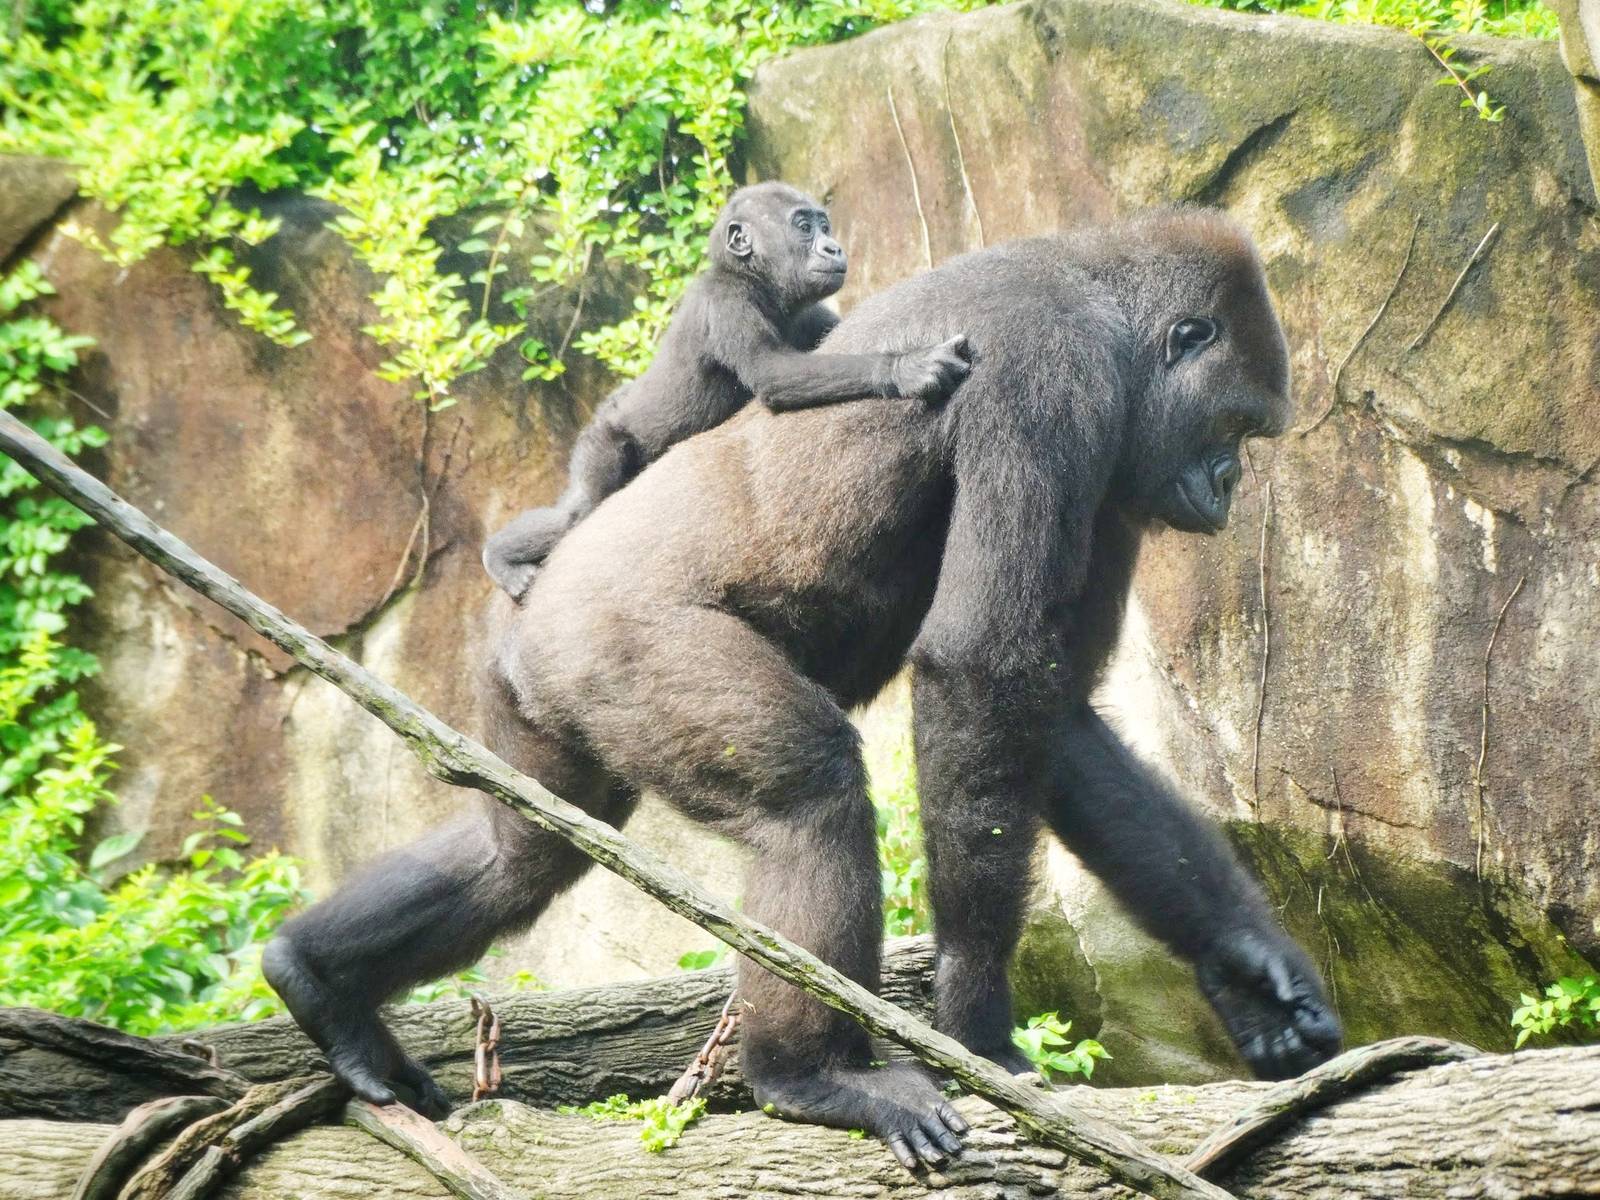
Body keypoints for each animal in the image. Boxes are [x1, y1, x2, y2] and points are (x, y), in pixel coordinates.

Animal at [482, 180, 971, 600]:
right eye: (803, 226)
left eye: (825, 226)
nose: (833, 247)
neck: (752, 275)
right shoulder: (726, 302)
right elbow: (774, 374)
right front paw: (906, 367)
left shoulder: (813, 315)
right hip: (602, 439)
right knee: (578, 511)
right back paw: (500, 556)